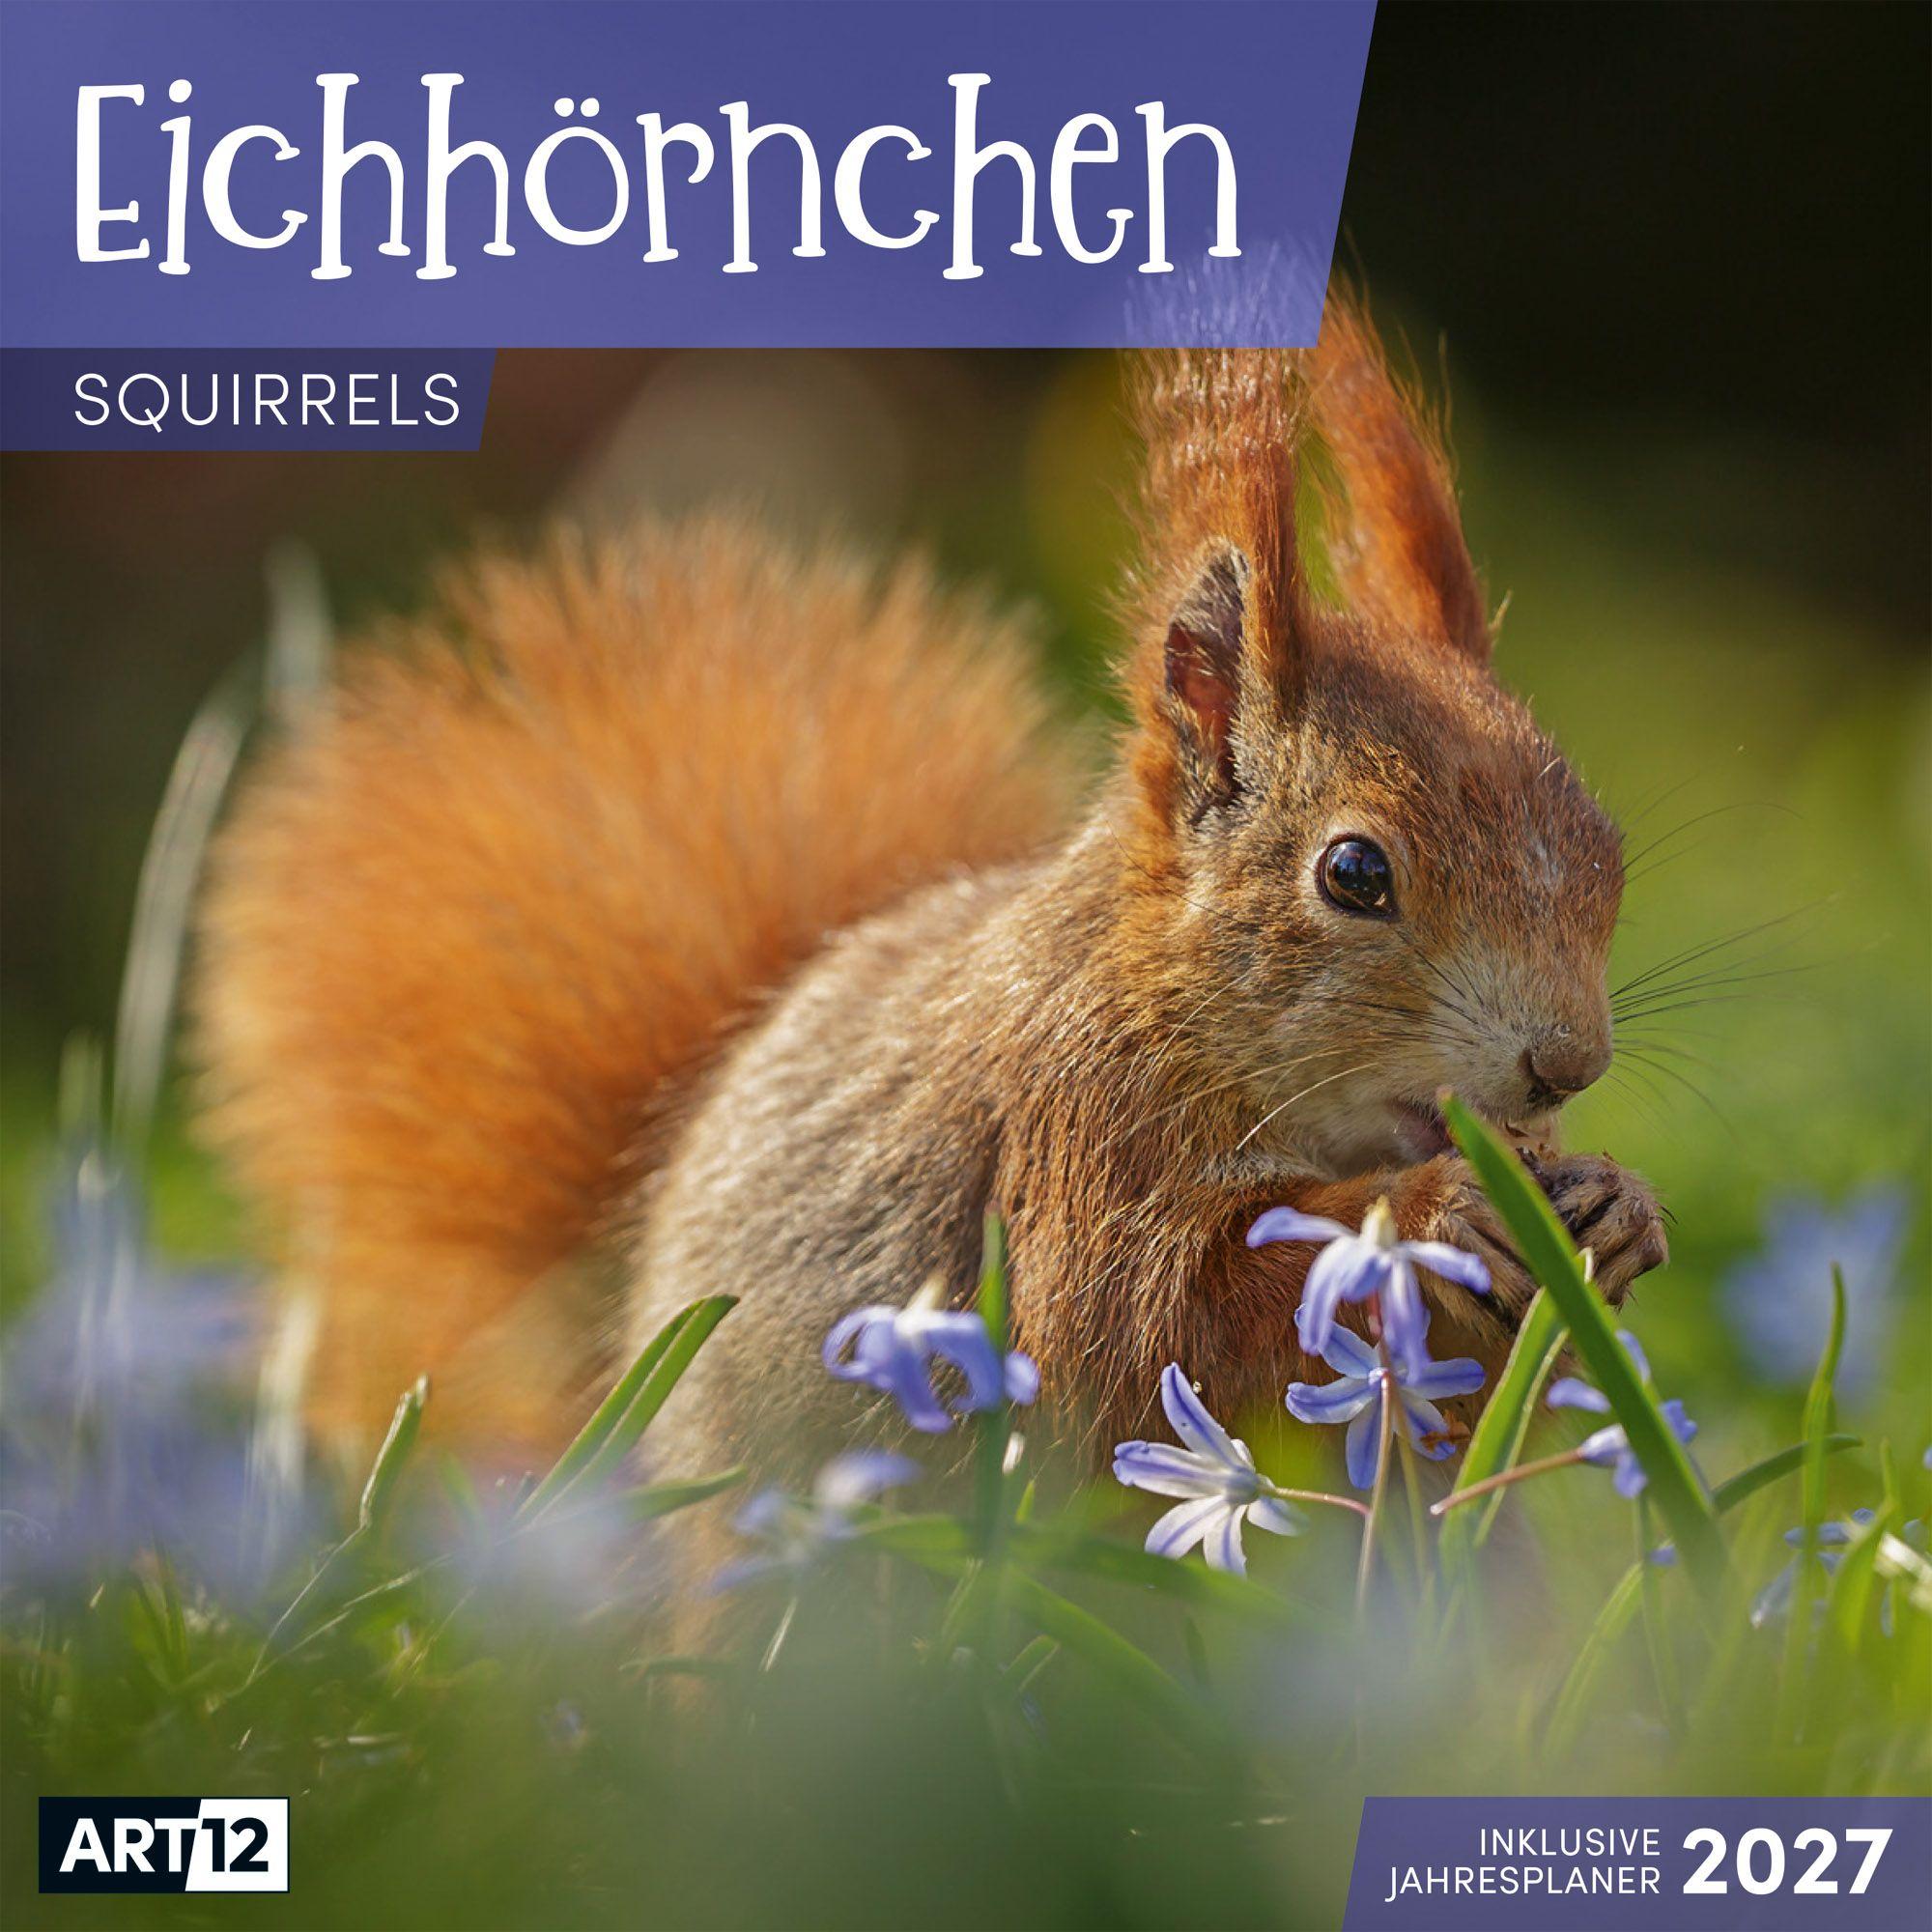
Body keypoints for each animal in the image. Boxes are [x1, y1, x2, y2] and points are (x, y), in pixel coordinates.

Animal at [196, 298, 1668, 1492]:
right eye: (1354, 873)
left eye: (1605, 843)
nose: (1565, 1063)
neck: (1165, 1002)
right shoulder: (1072, 1128)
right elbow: (1132, 1331)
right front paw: (1436, 1216)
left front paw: (1613, 1215)